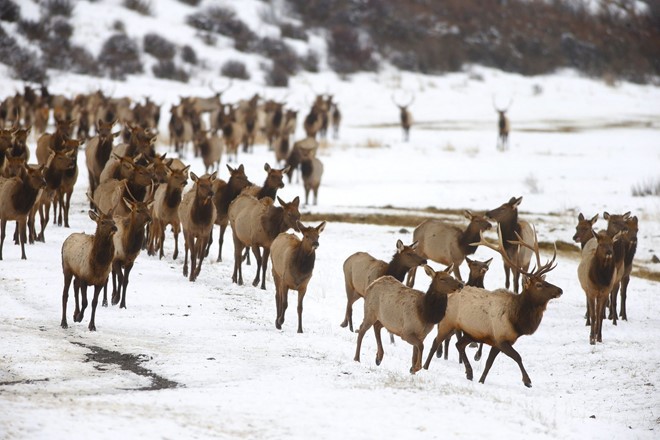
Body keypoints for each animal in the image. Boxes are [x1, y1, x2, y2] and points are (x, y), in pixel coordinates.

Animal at [422, 225, 564, 386]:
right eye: (539, 285)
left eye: (546, 281)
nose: (560, 290)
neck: (517, 320)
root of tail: (449, 294)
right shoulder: (501, 338)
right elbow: (518, 357)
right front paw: (527, 381)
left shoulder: (496, 342)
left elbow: (489, 363)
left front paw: (481, 381)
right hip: (448, 322)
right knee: (436, 342)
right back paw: (425, 366)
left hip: (470, 332)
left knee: (459, 345)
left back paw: (469, 373)